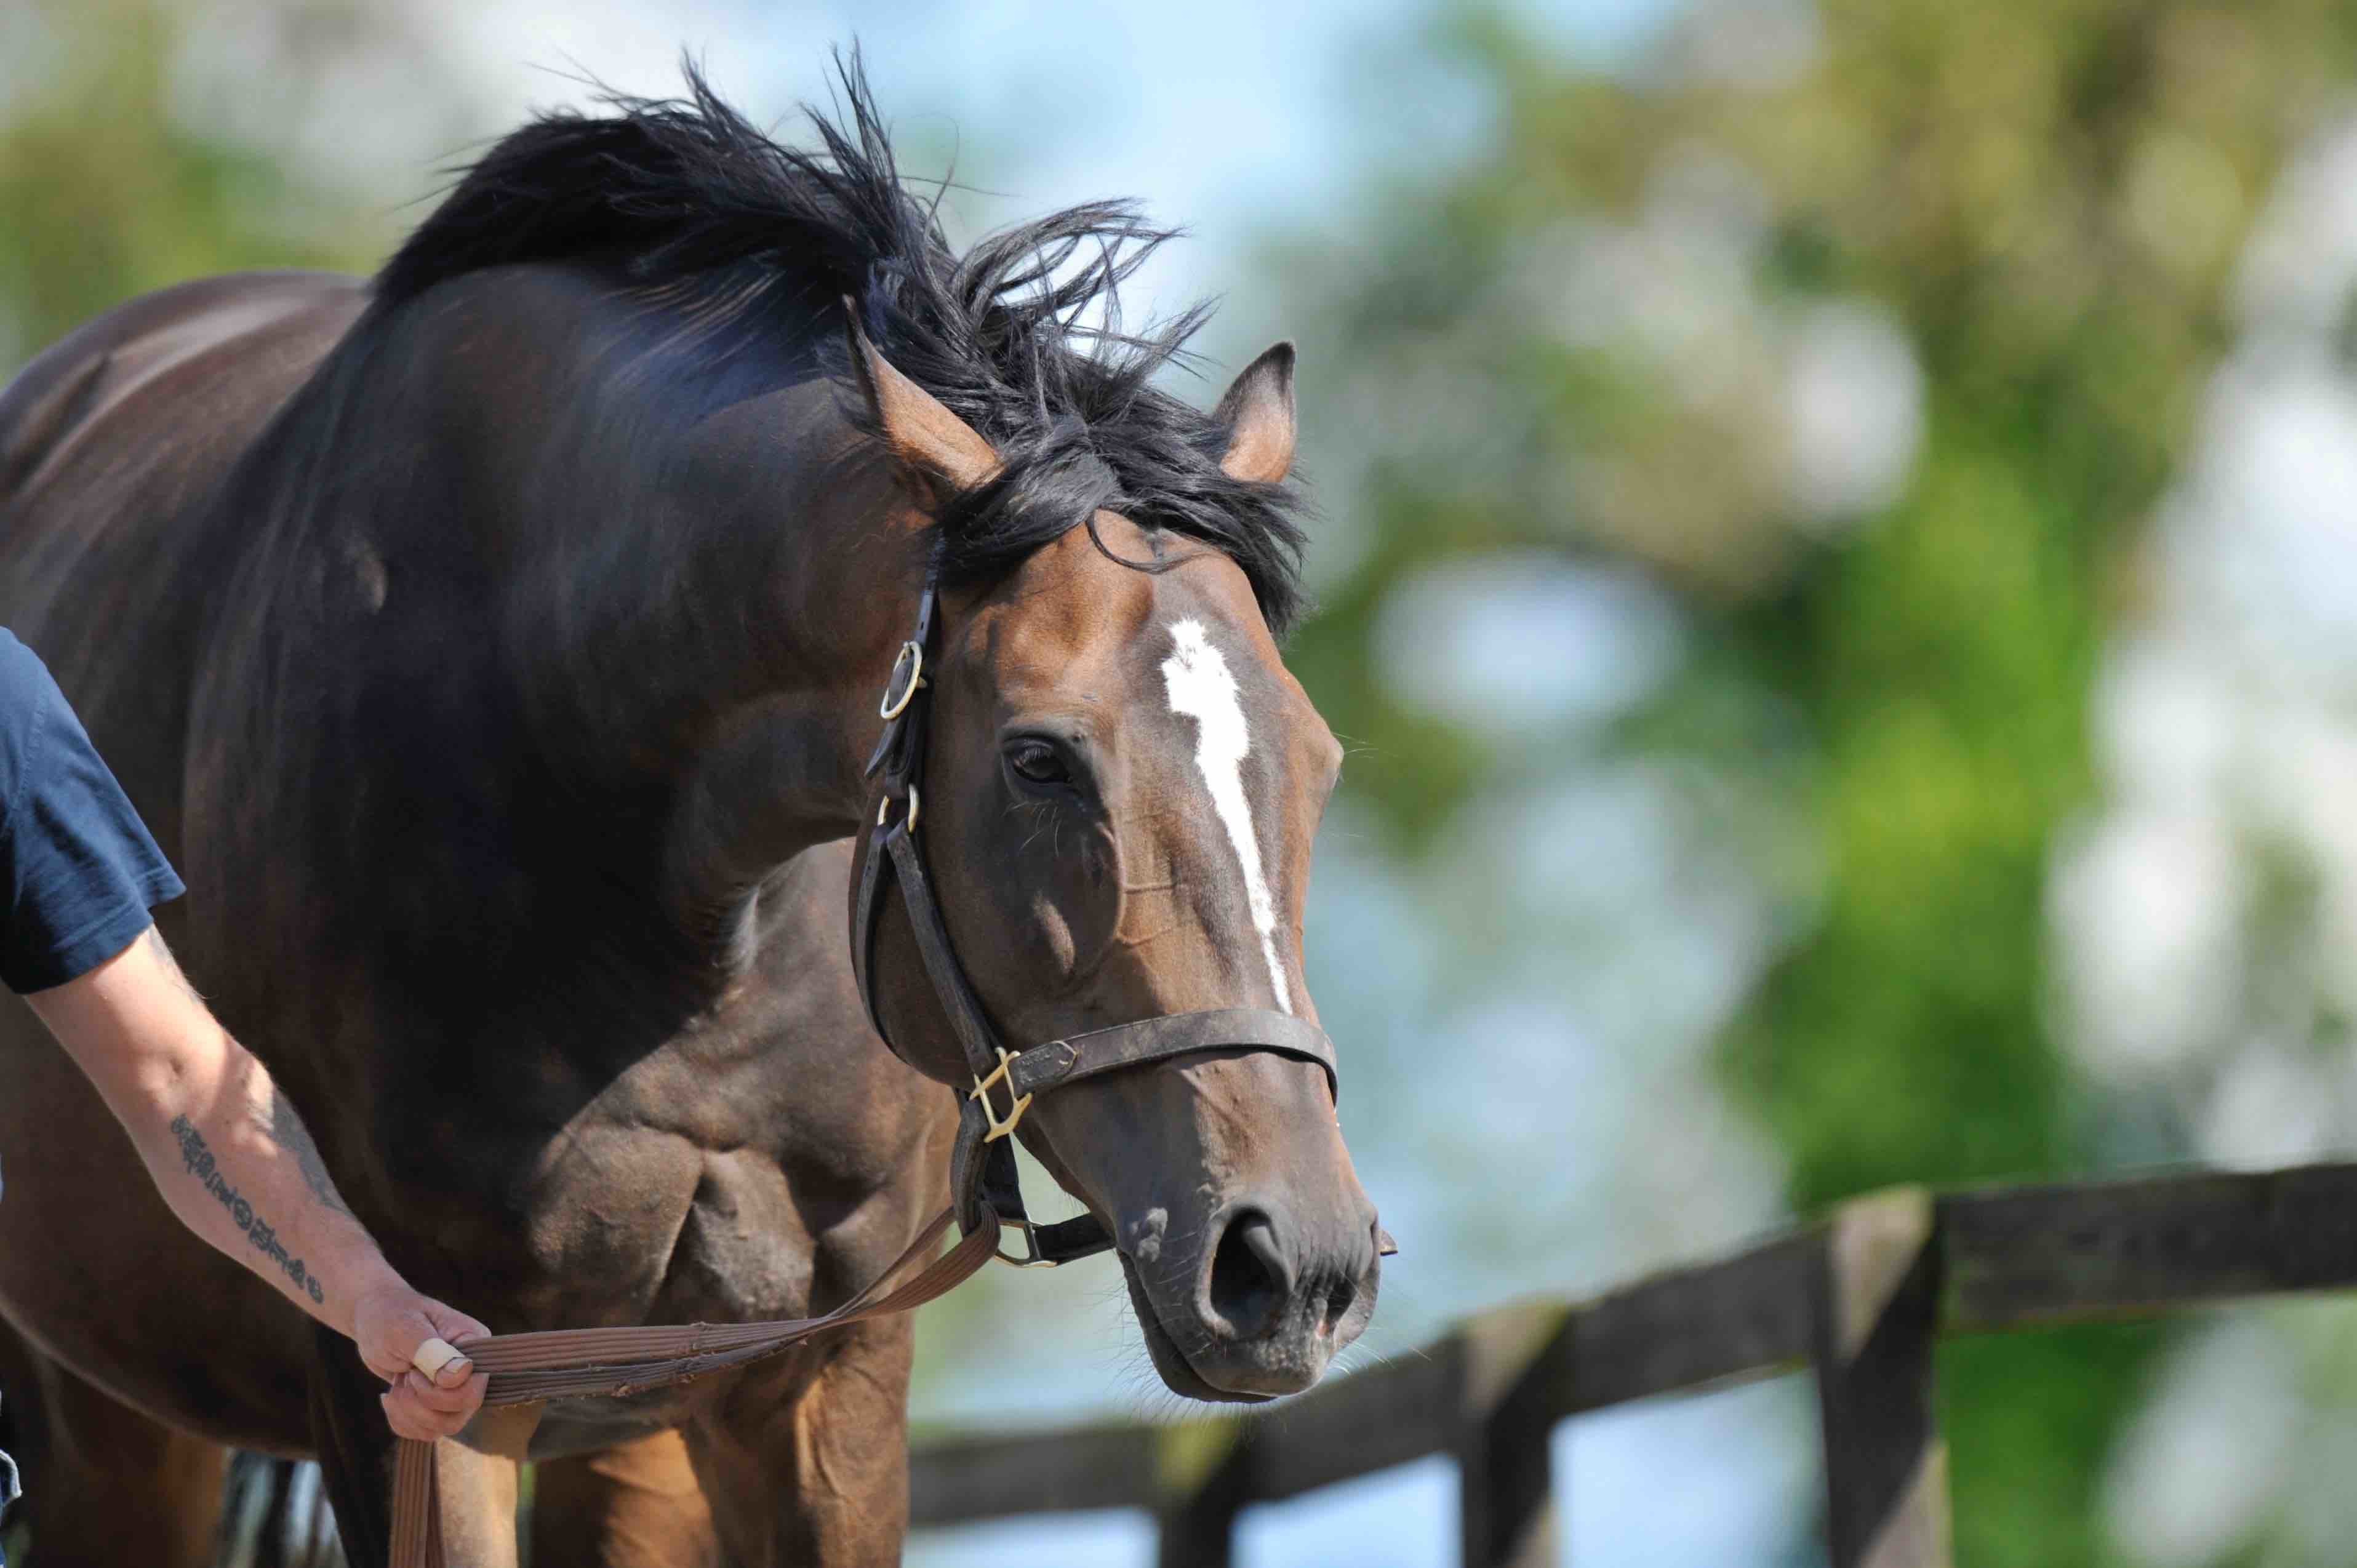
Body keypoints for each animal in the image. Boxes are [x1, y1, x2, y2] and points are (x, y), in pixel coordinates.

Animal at [0, 61, 1376, 1566]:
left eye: (1318, 759)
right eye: (1038, 760)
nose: (1293, 1264)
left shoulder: (819, 1375)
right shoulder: (420, 1382)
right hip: (107, 1420)